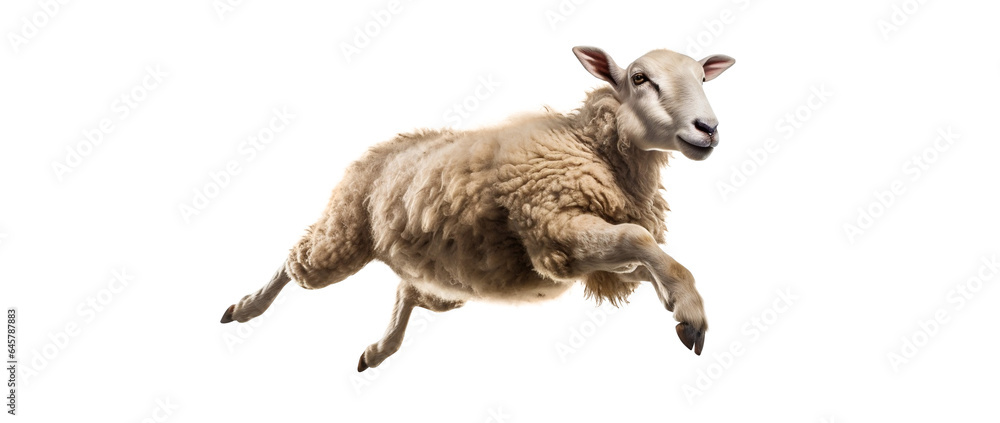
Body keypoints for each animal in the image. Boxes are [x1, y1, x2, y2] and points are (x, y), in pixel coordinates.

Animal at [220, 46, 735, 371]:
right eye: (639, 78)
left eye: (702, 77)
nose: (708, 128)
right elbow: (638, 238)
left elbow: (649, 259)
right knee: (296, 261)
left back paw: (380, 350)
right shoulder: (553, 233)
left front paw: (676, 301)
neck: (590, 146)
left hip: (449, 277)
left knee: (408, 292)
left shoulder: (594, 261)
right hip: (344, 233)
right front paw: (690, 311)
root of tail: (384, 146)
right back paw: (245, 307)